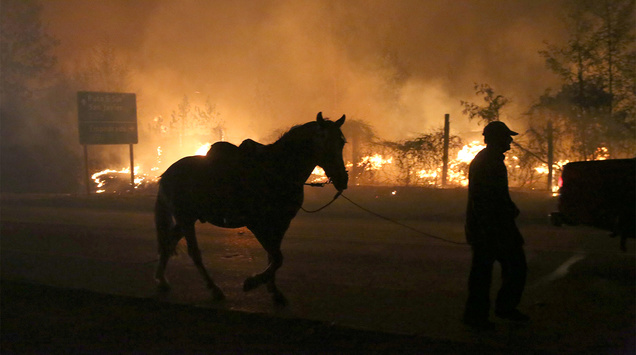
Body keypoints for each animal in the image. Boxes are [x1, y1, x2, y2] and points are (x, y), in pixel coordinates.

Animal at [152, 113, 348, 306]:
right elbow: (277, 257)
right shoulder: (257, 224)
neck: (276, 171)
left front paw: (274, 291)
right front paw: (252, 282)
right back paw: (214, 289)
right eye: (325, 141)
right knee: (194, 253)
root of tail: (168, 173)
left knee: (168, 243)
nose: (343, 179)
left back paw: (162, 280)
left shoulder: (281, 223)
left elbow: (274, 256)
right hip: (185, 218)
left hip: (187, 219)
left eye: (342, 143)